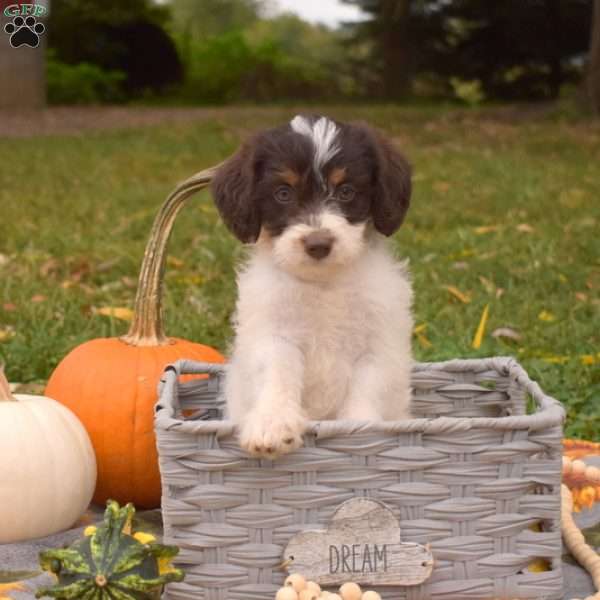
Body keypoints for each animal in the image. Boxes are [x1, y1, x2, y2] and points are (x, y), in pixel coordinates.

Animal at [213, 115, 414, 458]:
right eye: (283, 193)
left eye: (346, 191)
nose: (318, 244)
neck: (324, 284)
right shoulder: (274, 335)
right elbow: (277, 371)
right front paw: (272, 422)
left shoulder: (380, 344)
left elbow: (368, 385)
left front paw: (360, 431)